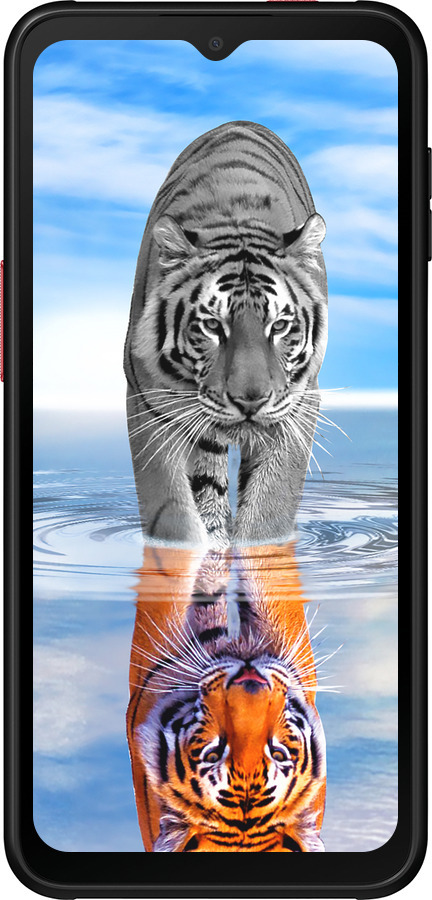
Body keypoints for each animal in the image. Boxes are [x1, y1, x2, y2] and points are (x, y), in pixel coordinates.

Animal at [124, 121, 328, 549]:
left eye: (279, 326)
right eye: (212, 326)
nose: (250, 400)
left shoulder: (299, 404)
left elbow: (270, 509)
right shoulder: (148, 401)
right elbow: (172, 513)